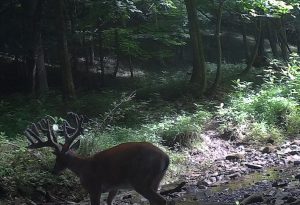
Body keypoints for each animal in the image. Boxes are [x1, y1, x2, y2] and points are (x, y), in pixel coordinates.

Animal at [24, 113, 169, 204]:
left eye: (58, 157)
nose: (53, 171)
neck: (82, 168)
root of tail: (165, 157)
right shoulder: (114, 187)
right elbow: (109, 202)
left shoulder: (94, 187)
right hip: (156, 180)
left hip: (140, 179)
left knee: (160, 200)